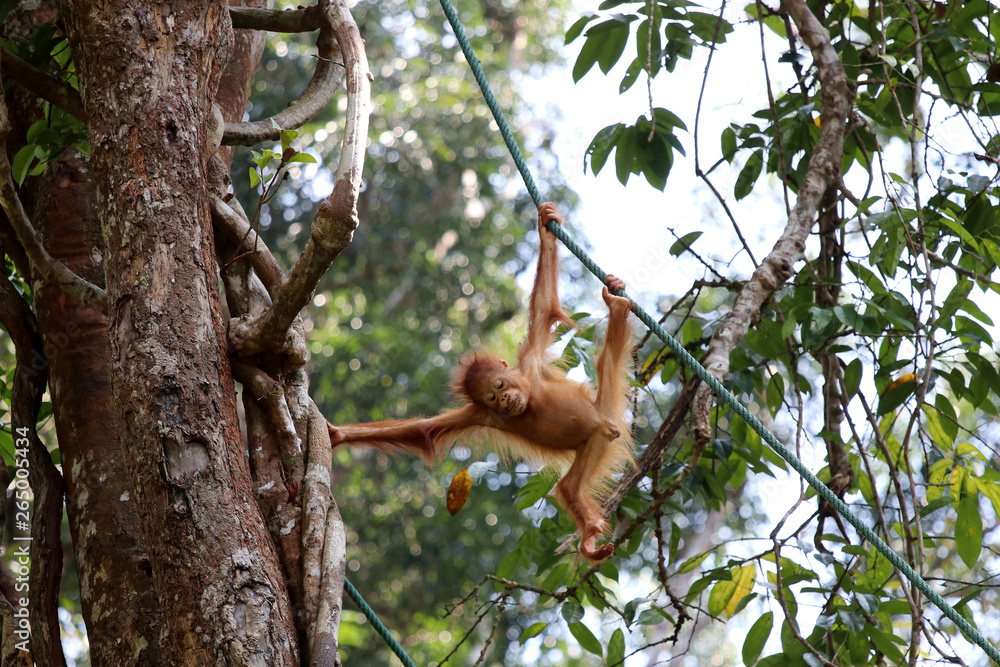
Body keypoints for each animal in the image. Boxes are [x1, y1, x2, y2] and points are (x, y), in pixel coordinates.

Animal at [328, 202, 634, 562]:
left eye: (499, 387)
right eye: (490, 398)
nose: (503, 401)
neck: (530, 399)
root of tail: (606, 422)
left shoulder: (530, 364)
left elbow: (544, 306)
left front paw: (545, 229)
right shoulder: (481, 416)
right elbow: (424, 430)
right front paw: (339, 434)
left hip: (603, 413)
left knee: (607, 359)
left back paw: (616, 305)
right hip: (595, 441)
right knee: (570, 488)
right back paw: (589, 536)